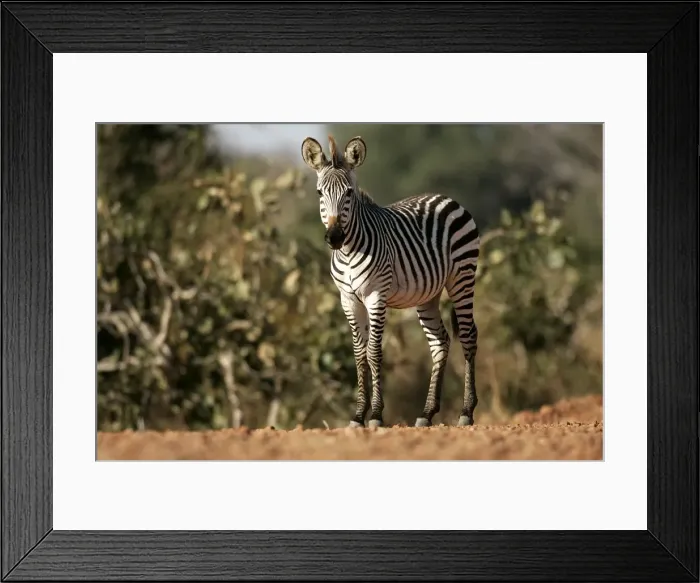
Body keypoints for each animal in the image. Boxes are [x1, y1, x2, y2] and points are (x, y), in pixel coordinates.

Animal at [301, 134, 480, 429]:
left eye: (349, 193)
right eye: (319, 193)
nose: (334, 237)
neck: (348, 252)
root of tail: (446, 198)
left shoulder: (376, 296)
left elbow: (374, 352)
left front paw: (375, 415)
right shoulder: (348, 300)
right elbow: (359, 354)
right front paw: (358, 415)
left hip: (462, 277)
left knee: (467, 335)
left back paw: (466, 412)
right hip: (427, 294)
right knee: (439, 342)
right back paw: (426, 413)